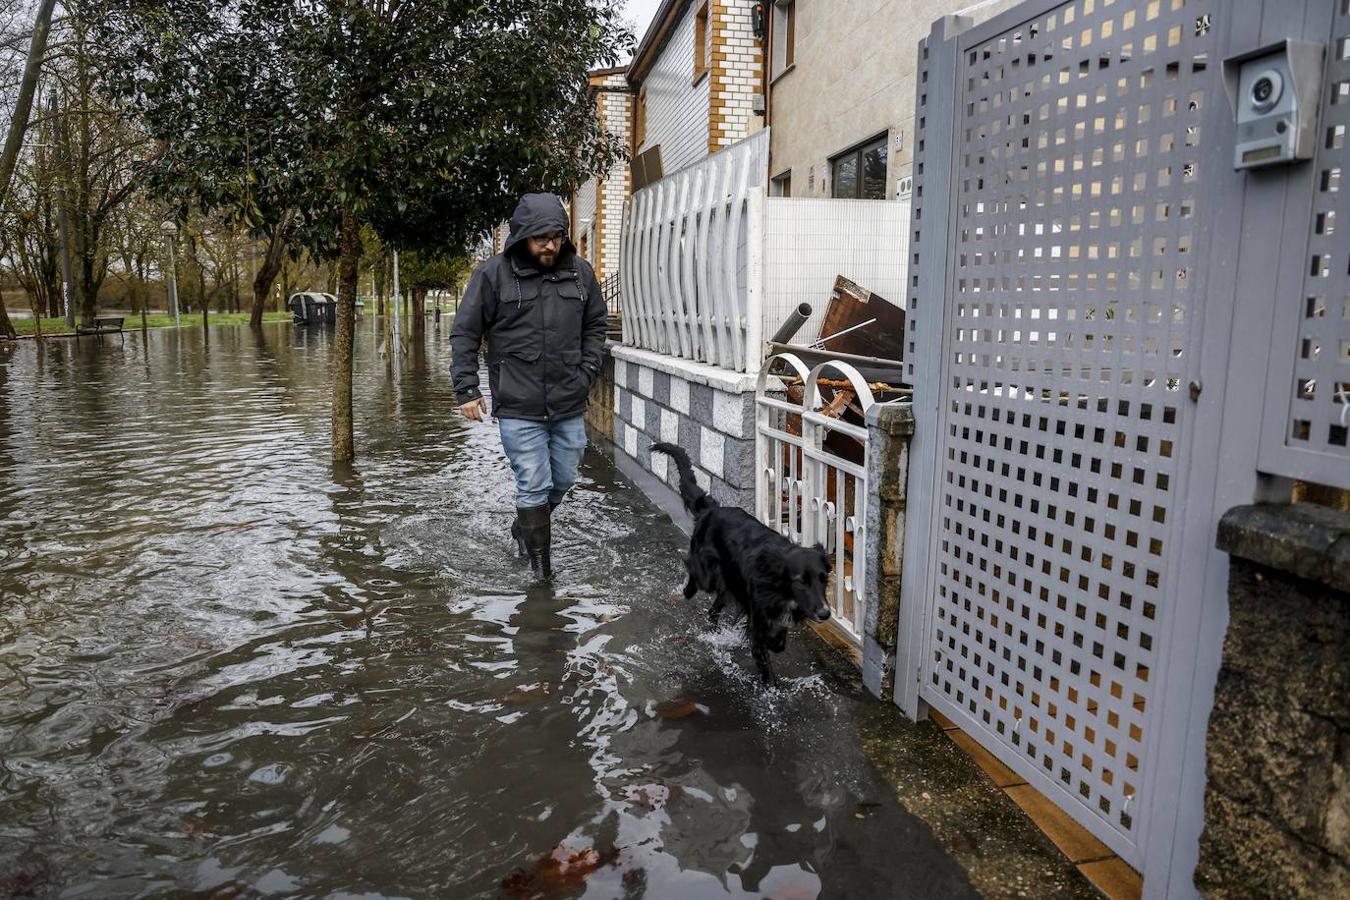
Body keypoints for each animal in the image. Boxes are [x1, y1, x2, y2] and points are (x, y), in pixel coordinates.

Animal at [648, 442, 826, 682]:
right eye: (801, 581)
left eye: (823, 579)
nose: (825, 613)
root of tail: (712, 508)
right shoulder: (758, 618)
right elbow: (764, 657)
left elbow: (776, 640)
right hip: (709, 574)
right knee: (693, 573)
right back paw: (687, 591)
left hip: (729, 584)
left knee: (713, 610)